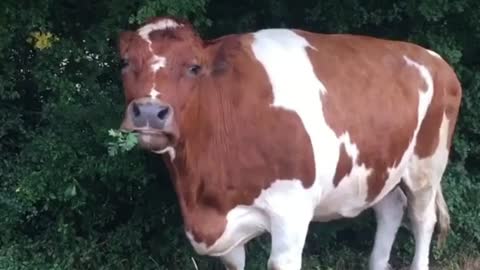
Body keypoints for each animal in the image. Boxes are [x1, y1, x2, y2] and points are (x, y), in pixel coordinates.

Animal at [116, 16, 462, 270]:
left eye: (193, 67)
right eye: (125, 63)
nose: (150, 111)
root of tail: (434, 58)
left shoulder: (291, 216)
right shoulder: (228, 232)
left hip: (426, 167)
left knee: (422, 220)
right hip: (379, 169)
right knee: (391, 209)